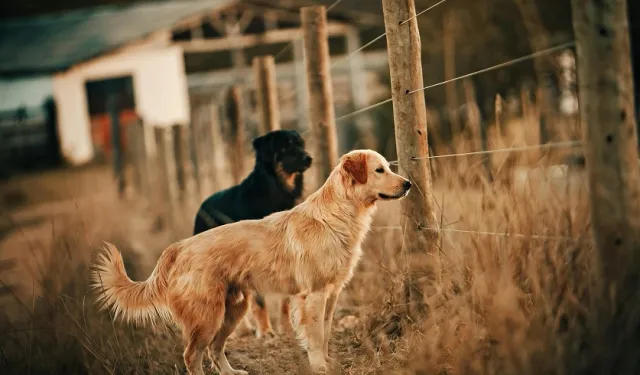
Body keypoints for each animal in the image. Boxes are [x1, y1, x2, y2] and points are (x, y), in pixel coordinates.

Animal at [91, 150, 410, 375]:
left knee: (215, 349)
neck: (337, 215)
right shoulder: (314, 296)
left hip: (234, 309)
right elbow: (316, 336)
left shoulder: (331, 295)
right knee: (192, 355)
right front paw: (320, 366)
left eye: (388, 166)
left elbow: (327, 334)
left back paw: (232, 372)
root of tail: (179, 248)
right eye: (379, 170)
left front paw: (328, 362)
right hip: (208, 316)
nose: (408, 184)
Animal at [192, 129, 312, 338]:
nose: (309, 158)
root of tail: (202, 207)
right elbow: (260, 301)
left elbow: (285, 300)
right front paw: (265, 331)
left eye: (301, 144)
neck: (276, 190)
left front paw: (286, 328)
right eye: (287, 146)